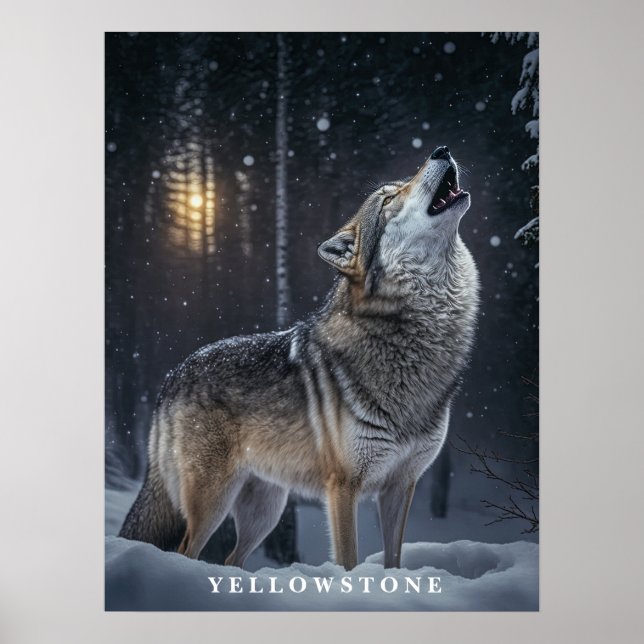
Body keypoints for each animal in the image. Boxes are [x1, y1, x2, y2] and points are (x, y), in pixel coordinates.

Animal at [119, 146, 480, 570]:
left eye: (401, 185)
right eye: (389, 198)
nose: (441, 150)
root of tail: (171, 375)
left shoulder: (400, 486)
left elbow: (394, 560)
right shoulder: (343, 487)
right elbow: (349, 561)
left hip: (266, 511)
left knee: (230, 560)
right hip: (214, 503)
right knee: (187, 552)